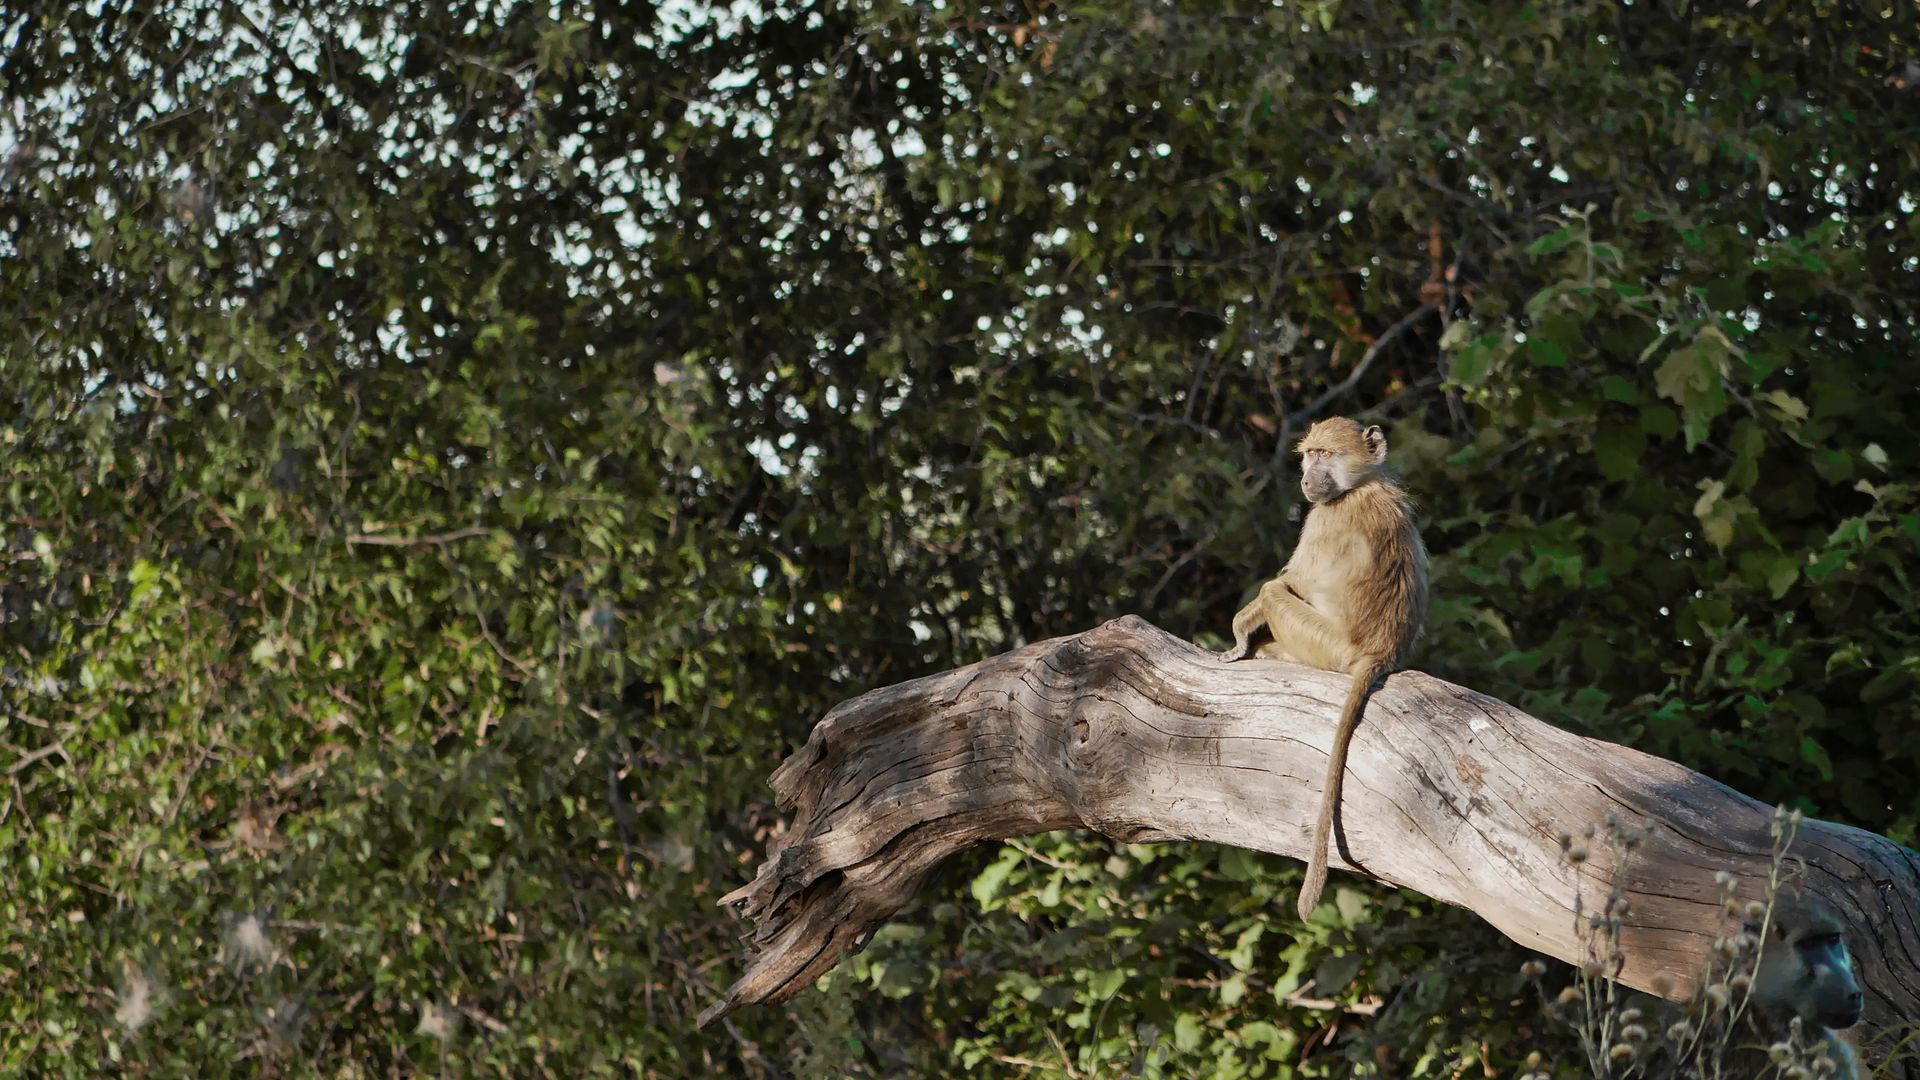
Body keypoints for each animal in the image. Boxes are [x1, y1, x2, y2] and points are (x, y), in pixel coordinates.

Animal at [1219, 417, 1428, 921]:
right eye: (1309, 453)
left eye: (1325, 455)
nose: (1307, 480)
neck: (1361, 485)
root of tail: (1378, 654)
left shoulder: (1324, 519)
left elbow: (1289, 581)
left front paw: (1238, 635)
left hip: (1323, 646)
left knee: (1276, 593)